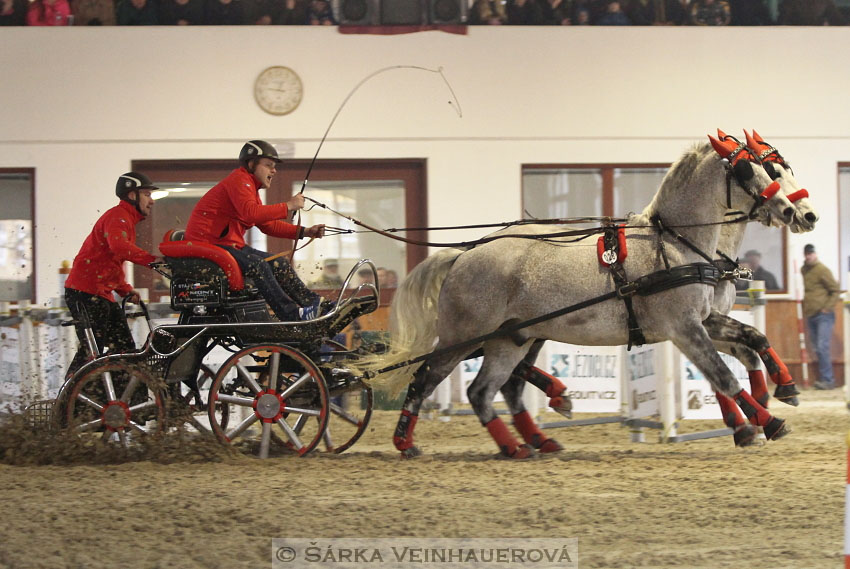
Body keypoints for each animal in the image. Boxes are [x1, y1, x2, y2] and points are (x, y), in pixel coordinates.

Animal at [370, 136, 796, 458]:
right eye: (747, 170)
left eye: (773, 168)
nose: (794, 212)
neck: (676, 245)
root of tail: (465, 253)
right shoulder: (684, 327)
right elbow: (721, 374)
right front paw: (766, 421)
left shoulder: (703, 321)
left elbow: (752, 341)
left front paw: (777, 394)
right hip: (463, 337)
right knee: (425, 379)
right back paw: (405, 442)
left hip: (510, 339)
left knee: (486, 390)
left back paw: (522, 444)